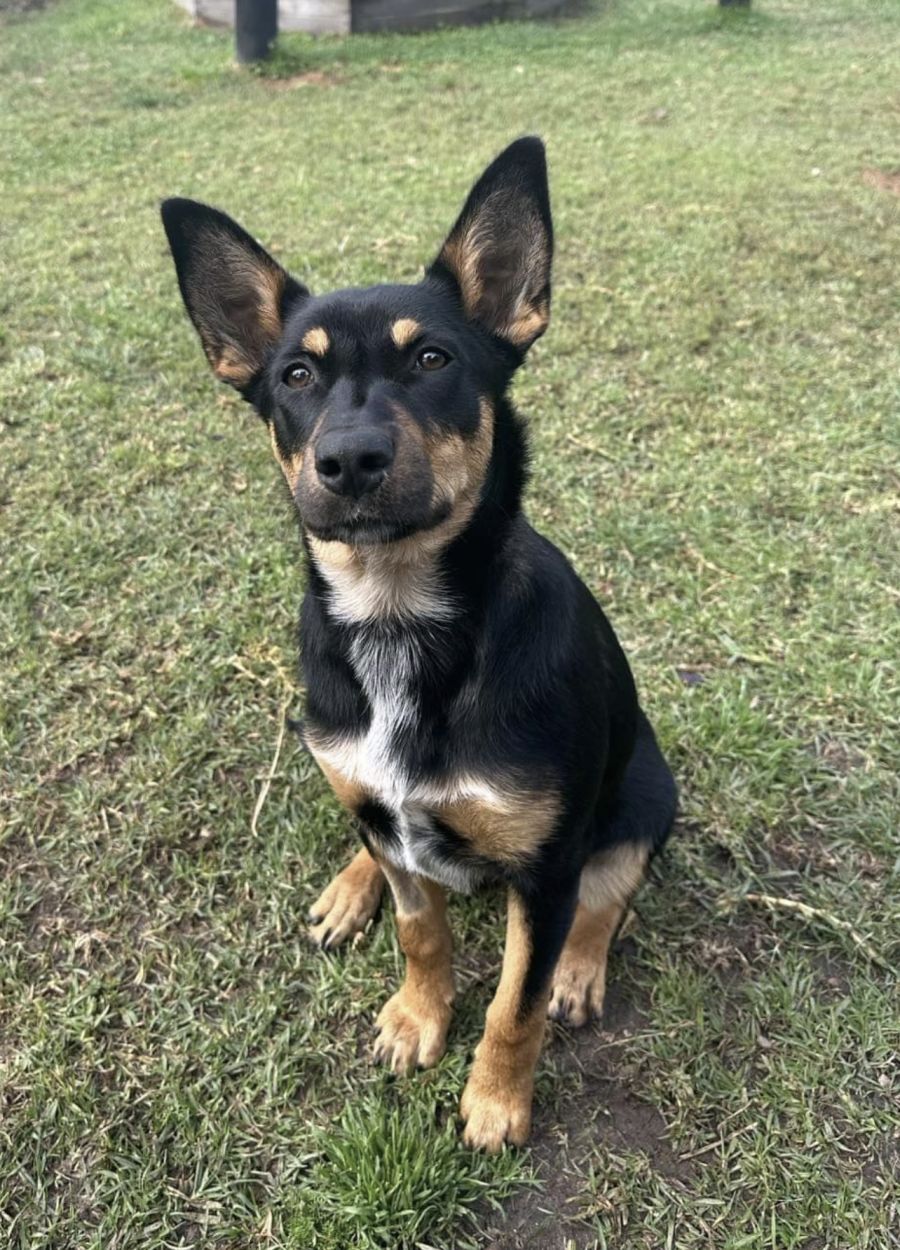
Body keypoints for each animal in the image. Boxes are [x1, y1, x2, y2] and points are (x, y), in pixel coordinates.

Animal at [161, 137, 677, 1152]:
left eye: (433, 358)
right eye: (296, 376)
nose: (349, 461)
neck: (398, 617)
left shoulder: (547, 868)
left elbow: (517, 999)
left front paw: (497, 1099)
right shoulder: (391, 814)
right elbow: (420, 931)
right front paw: (416, 1017)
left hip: (648, 788)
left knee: (612, 892)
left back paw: (580, 969)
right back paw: (352, 881)